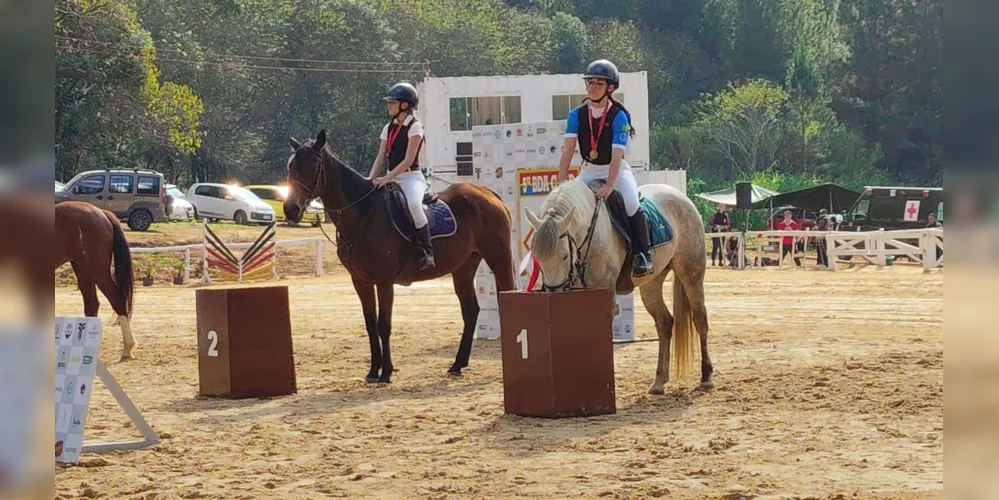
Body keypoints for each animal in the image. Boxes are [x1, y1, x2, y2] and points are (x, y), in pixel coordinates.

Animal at [56, 199, 138, 360]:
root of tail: (103, 213)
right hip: (82, 269)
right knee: (92, 304)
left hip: (97, 271)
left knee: (116, 299)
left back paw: (127, 347)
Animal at [282, 129, 516, 382]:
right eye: (290, 166)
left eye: (314, 166)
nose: (291, 209)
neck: (362, 214)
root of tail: (487, 193)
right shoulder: (361, 281)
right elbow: (370, 323)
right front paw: (373, 371)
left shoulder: (384, 281)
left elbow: (384, 324)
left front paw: (386, 372)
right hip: (463, 266)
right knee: (470, 310)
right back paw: (457, 364)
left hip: (498, 257)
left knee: (506, 296)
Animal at [524, 180, 712, 394]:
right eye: (537, 257)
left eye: (564, 255)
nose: (554, 292)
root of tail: (681, 196)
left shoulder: (605, 292)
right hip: (651, 284)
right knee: (664, 323)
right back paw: (659, 381)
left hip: (691, 275)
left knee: (700, 319)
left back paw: (706, 377)